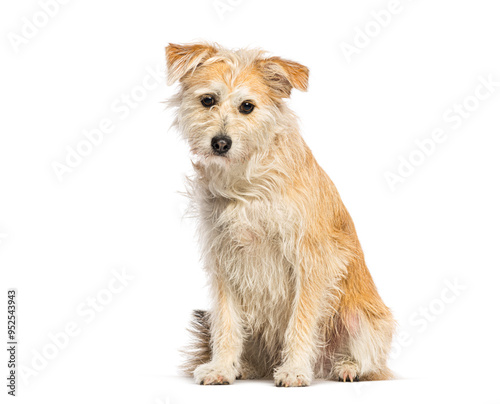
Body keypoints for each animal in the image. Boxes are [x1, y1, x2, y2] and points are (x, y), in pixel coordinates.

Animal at [166, 42, 396, 386]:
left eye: (247, 106)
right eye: (208, 100)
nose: (220, 143)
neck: (247, 183)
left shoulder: (310, 260)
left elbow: (301, 319)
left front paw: (295, 369)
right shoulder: (223, 260)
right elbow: (226, 323)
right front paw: (222, 367)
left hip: (361, 318)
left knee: (370, 362)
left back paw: (347, 366)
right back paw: (245, 367)